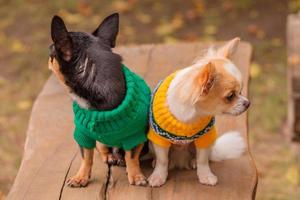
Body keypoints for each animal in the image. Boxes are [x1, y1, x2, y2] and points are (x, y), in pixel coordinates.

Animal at [48, 13, 150, 187]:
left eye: (51, 55)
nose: (48, 56)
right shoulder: (83, 134)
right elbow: (86, 157)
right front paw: (81, 176)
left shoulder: (135, 135)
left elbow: (132, 156)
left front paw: (136, 175)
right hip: (101, 141)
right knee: (102, 149)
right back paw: (110, 156)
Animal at [147, 38, 248, 188]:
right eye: (230, 96)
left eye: (241, 92)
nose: (248, 103)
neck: (193, 114)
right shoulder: (159, 139)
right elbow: (162, 160)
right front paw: (158, 176)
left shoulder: (205, 138)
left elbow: (203, 160)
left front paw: (205, 175)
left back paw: (193, 161)